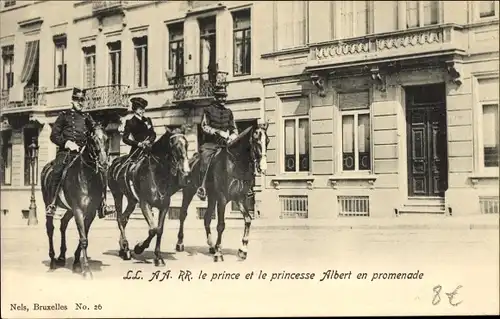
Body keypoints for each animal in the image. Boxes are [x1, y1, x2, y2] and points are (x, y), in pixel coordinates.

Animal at [41, 125, 109, 280]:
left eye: (107, 138)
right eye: (93, 140)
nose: (104, 163)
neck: (87, 177)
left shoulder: (90, 213)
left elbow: (83, 237)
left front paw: (77, 264)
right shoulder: (78, 210)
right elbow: (83, 239)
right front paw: (87, 270)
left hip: (69, 209)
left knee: (63, 224)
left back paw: (61, 257)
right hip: (49, 204)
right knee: (50, 229)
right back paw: (53, 261)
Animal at [107, 127, 189, 268]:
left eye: (187, 144)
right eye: (174, 145)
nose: (186, 170)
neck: (157, 174)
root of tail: (115, 162)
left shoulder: (164, 206)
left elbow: (159, 230)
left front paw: (158, 257)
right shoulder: (145, 204)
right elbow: (153, 230)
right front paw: (139, 247)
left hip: (132, 200)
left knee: (123, 219)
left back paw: (123, 248)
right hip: (117, 194)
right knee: (119, 219)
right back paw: (126, 249)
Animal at [177, 122, 270, 262]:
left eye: (267, 141)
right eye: (255, 140)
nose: (263, 167)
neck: (236, 164)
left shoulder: (240, 198)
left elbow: (248, 220)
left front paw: (243, 250)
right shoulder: (222, 199)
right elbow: (221, 225)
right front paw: (219, 252)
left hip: (211, 197)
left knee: (206, 218)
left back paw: (211, 246)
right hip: (189, 192)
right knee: (183, 214)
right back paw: (180, 243)